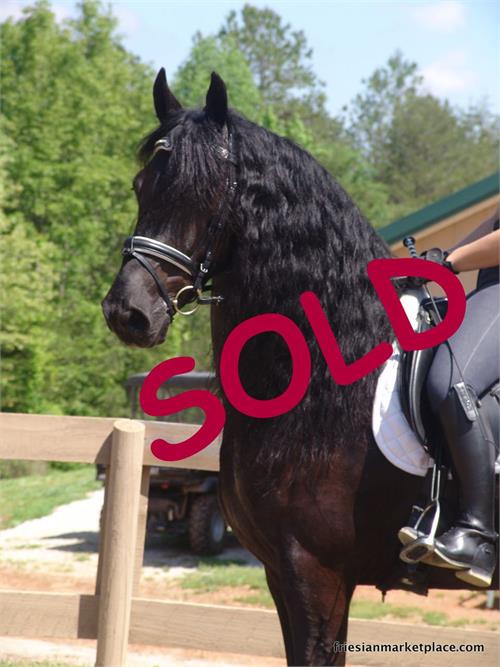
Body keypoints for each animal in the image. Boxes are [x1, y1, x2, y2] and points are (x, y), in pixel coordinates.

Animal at [102, 69, 498, 665]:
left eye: (205, 193)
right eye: (140, 185)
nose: (127, 312)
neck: (328, 381)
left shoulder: (316, 572)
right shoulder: (278, 572)